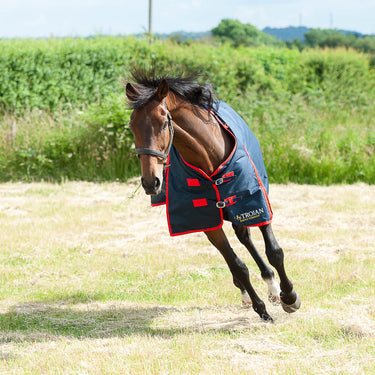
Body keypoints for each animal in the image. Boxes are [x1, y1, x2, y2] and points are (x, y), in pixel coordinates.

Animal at [125, 69, 302, 322]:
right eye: (132, 126)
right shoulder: (206, 219)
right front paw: (261, 309)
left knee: (245, 237)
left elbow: (275, 252)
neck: (209, 157)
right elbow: (237, 265)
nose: (151, 182)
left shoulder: (254, 203)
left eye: (163, 122)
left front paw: (289, 296)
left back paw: (272, 286)